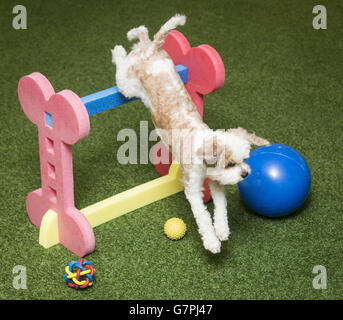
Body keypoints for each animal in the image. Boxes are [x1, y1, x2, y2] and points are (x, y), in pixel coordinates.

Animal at [111, 15, 270, 254]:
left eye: (244, 160)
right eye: (230, 164)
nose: (245, 174)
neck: (202, 147)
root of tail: (153, 50)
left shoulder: (216, 182)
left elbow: (221, 209)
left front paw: (222, 230)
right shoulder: (193, 188)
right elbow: (203, 217)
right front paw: (212, 241)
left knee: (144, 33)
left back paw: (133, 38)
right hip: (128, 85)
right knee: (123, 62)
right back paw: (119, 50)